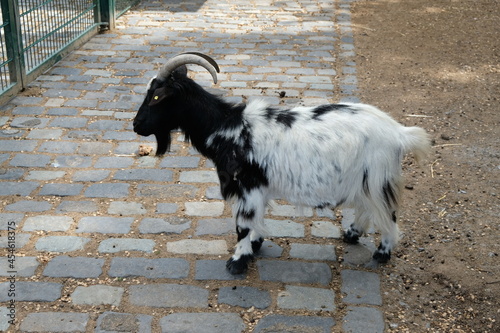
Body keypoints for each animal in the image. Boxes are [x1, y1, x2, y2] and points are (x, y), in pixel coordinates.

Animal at [133, 53, 430, 274]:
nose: (136, 126)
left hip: (378, 178)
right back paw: (352, 233)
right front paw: (255, 245)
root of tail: (399, 133)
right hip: (364, 179)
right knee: (367, 207)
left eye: (157, 97)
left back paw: (382, 252)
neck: (227, 127)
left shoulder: (246, 185)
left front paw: (238, 261)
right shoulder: (257, 187)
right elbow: (256, 218)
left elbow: (242, 223)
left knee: (388, 213)